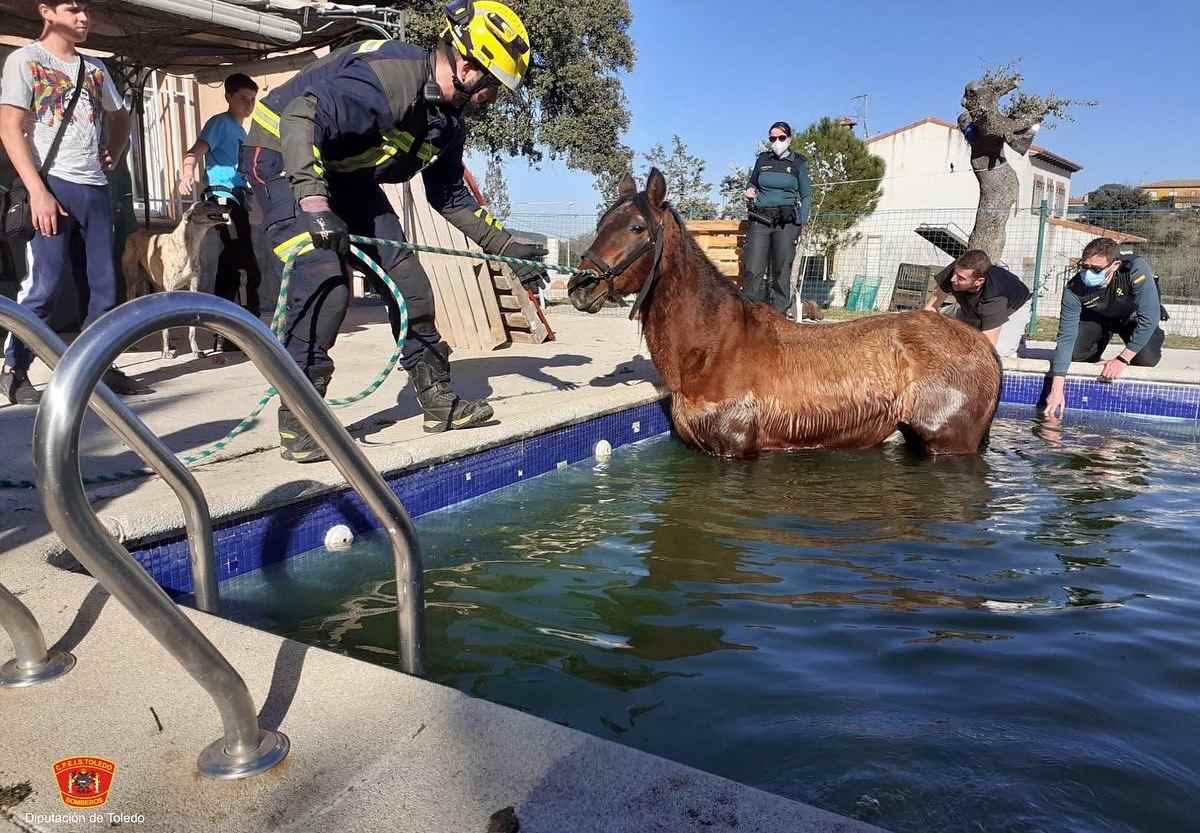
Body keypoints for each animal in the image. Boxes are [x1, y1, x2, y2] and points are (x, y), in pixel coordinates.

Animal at [123, 204, 230, 360]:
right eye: (207, 204)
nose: (228, 206)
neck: (188, 246)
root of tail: (135, 233)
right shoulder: (170, 289)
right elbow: (166, 329)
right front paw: (166, 351)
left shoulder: (193, 286)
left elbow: (191, 329)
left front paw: (195, 350)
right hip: (132, 282)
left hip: (156, 285)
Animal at [568, 166, 1003, 460]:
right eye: (603, 223)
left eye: (638, 228)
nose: (579, 286)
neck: (712, 348)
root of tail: (983, 345)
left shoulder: (736, 451)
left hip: (948, 444)